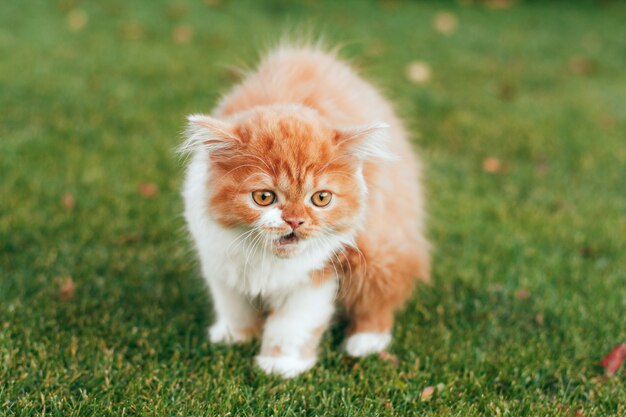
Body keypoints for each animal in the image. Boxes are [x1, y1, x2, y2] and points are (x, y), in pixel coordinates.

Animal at [178, 44, 426, 376]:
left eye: (320, 198)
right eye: (264, 197)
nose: (295, 221)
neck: (268, 261)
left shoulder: (320, 272)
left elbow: (292, 324)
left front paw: (279, 365)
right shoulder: (219, 261)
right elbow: (233, 306)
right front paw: (235, 337)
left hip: (380, 248)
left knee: (381, 300)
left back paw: (364, 343)